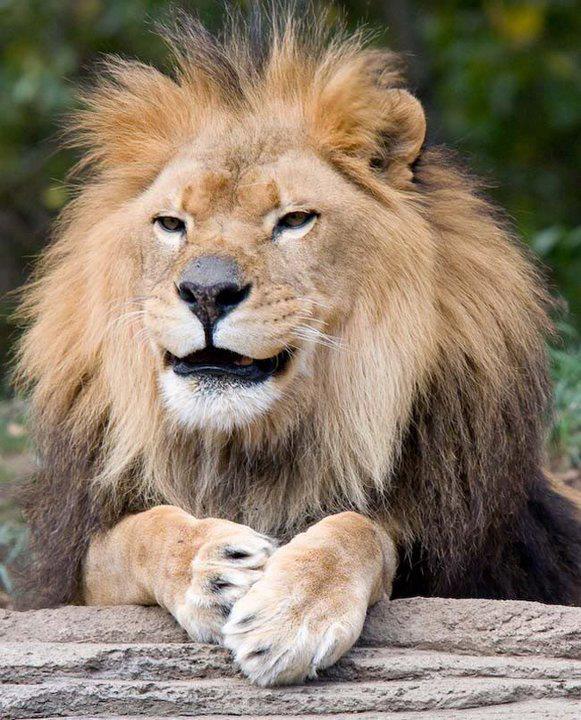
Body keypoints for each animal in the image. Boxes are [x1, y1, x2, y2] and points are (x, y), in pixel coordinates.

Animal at [14, 9, 580, 686]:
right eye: (172, 224)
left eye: (294, 220)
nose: (207, 291)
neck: (249, 449)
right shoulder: (67, 568)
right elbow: (130, 535)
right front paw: (212, 565)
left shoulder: (462, 564)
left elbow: (361, 528)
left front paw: (293, 611)